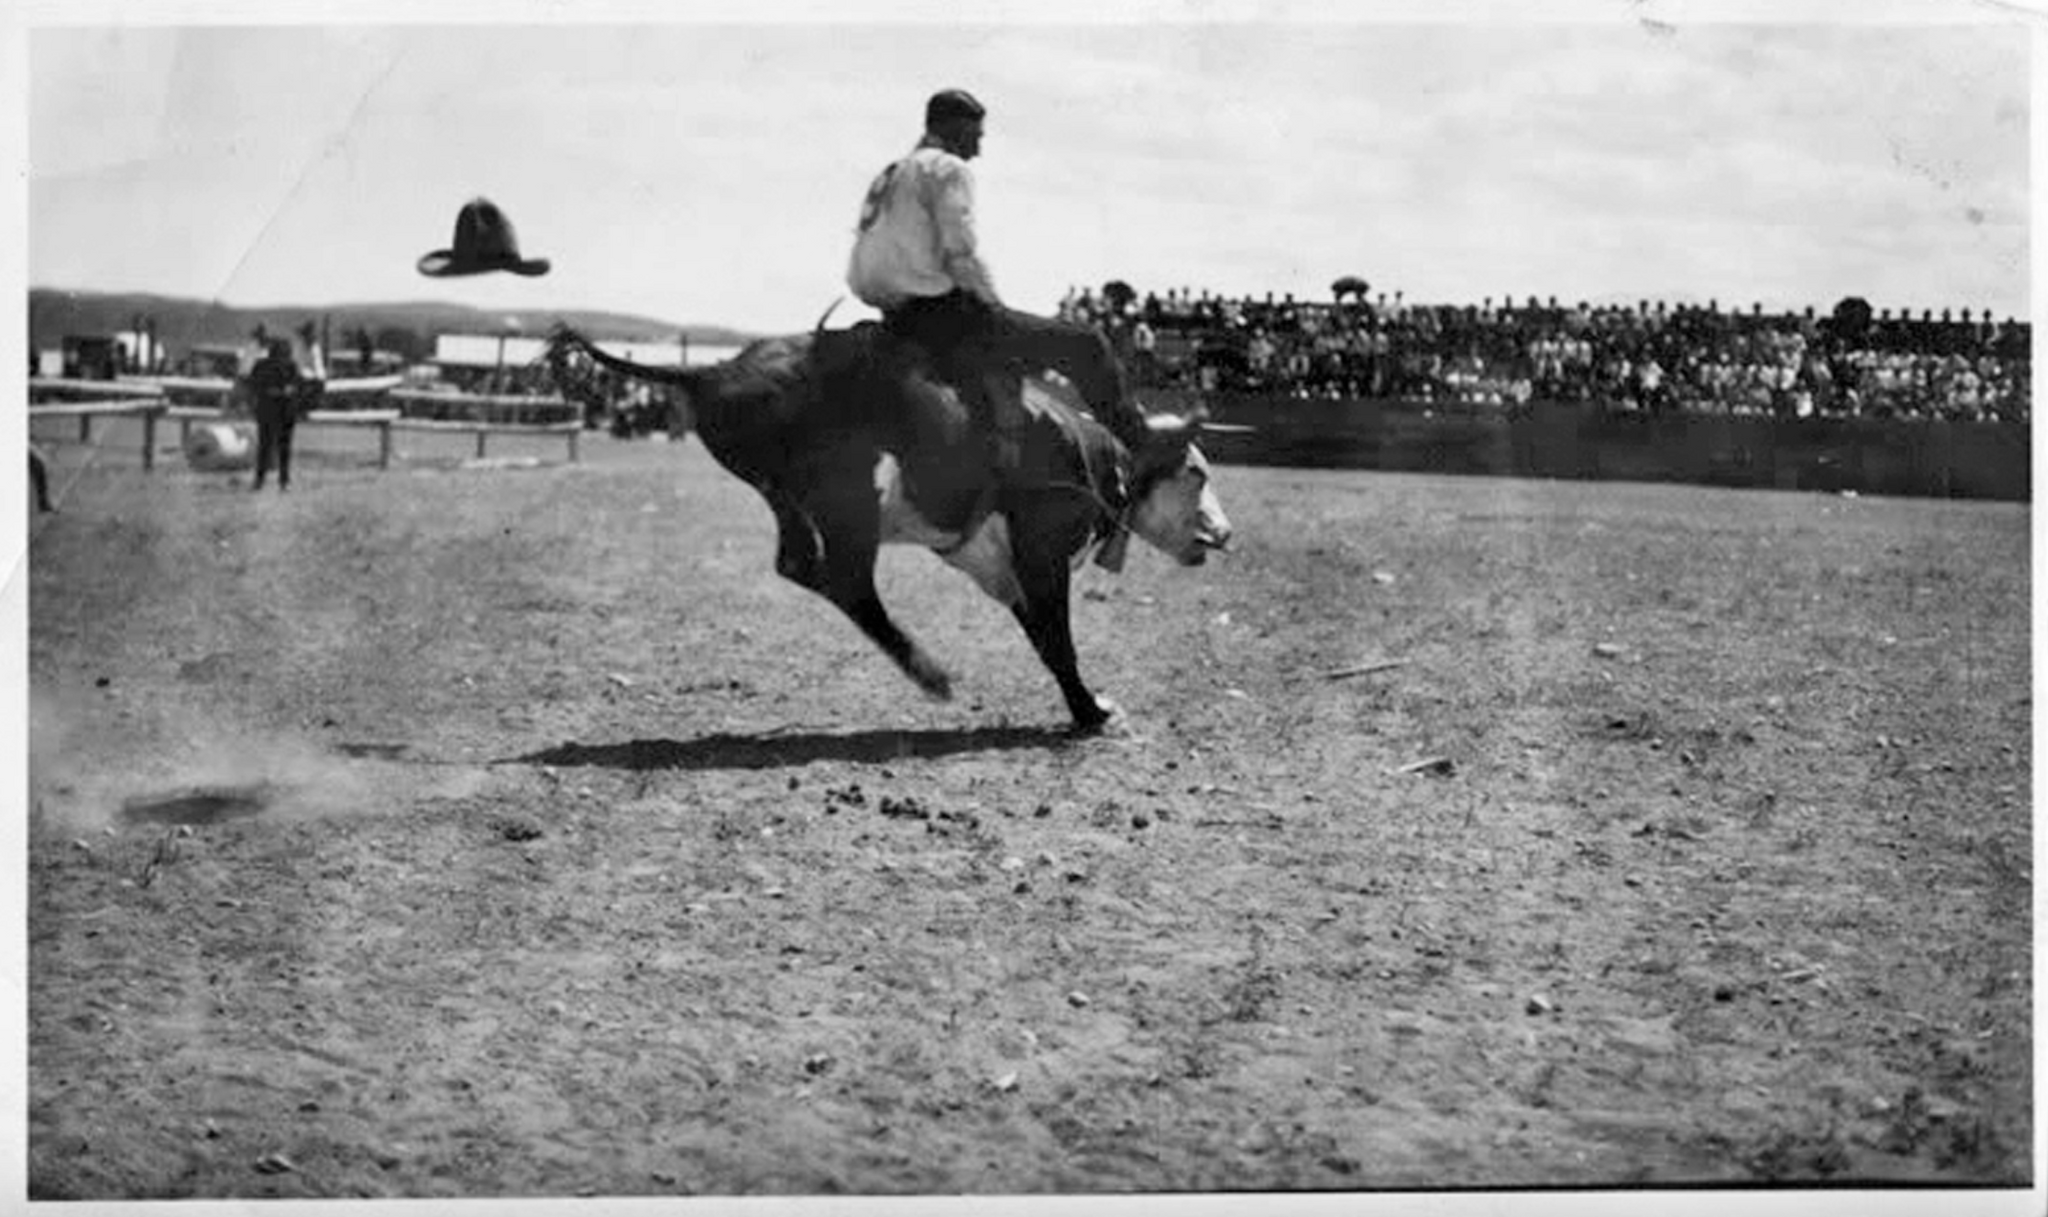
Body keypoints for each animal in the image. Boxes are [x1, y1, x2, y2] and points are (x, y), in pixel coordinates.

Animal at [544, 317, 1228, 729]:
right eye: (1196, 473)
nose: (1225, 534)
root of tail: (713, 370)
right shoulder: (1041, 549)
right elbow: (1058, 636)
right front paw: (1091, 712)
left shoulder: (994, 565)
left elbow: (1041, 636)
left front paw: (1086, 704)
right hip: (851, 501)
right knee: (847, 580)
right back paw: (932, 674)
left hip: (790, 498)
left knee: (800, 564)